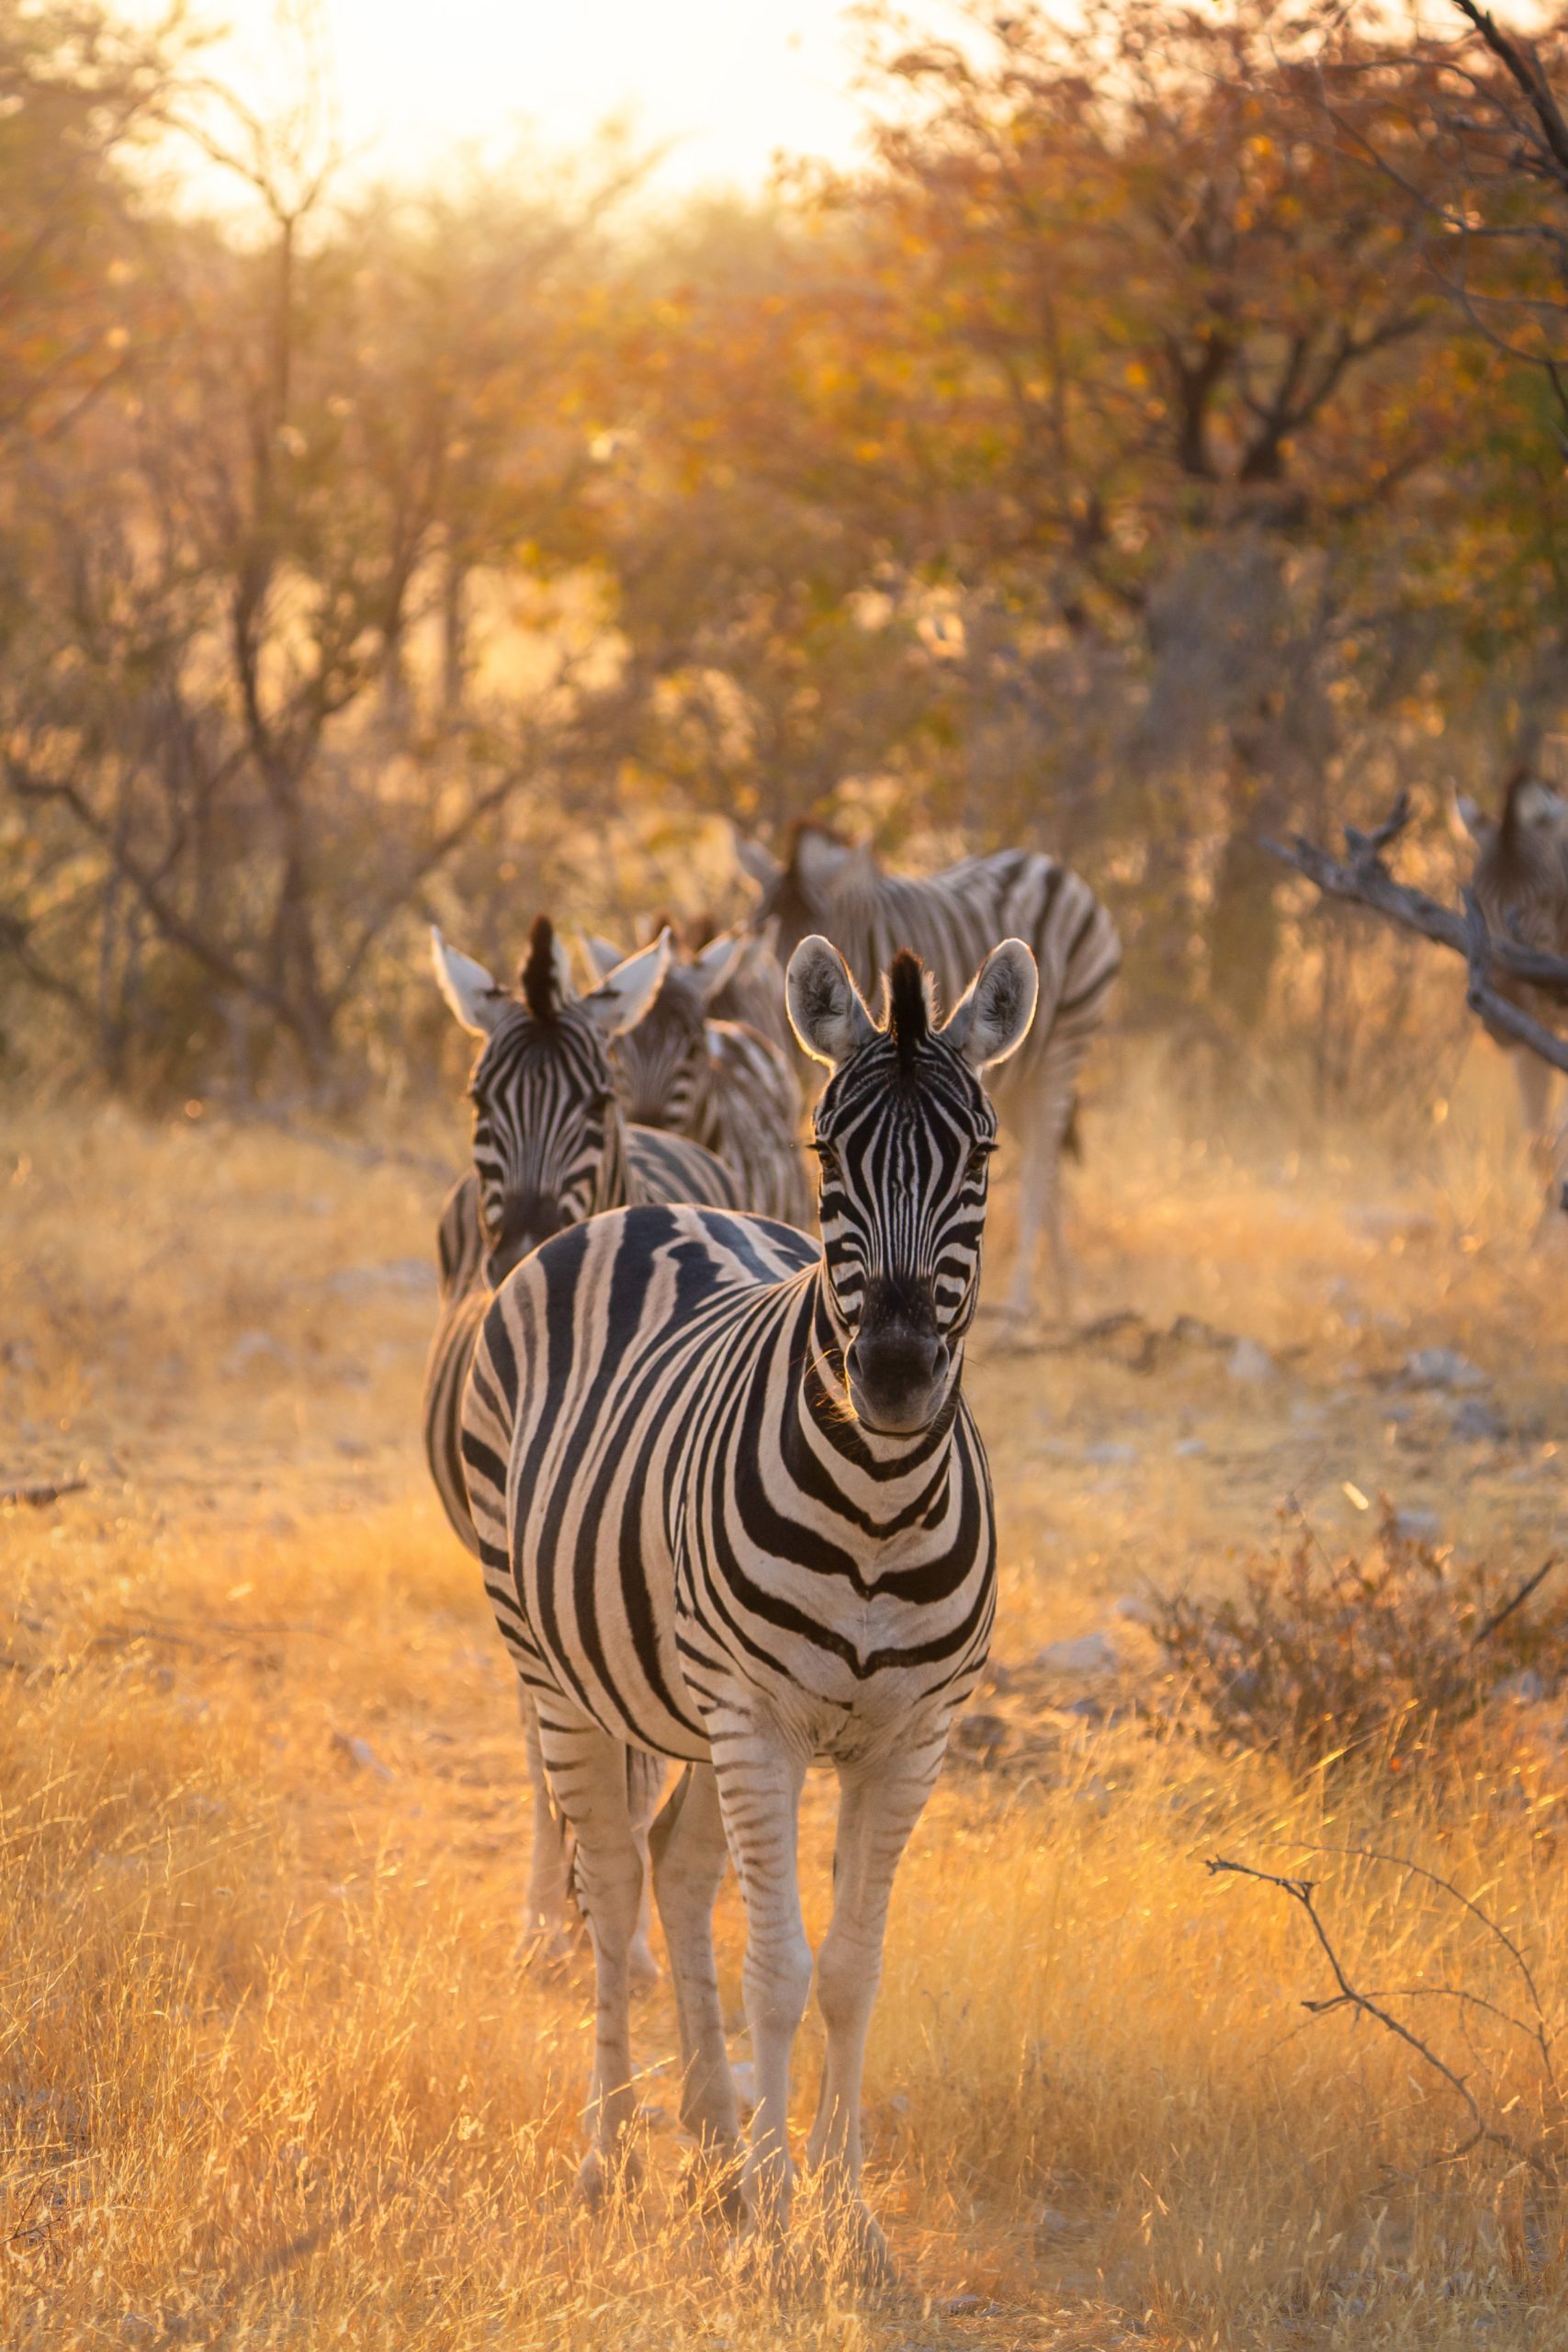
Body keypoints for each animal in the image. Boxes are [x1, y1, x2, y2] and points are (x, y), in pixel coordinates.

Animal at [423, 914, 742, 1968]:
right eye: (479, 1100)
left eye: (592, 1103)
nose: (521, 1251)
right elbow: (557, 1745)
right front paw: (562, 1912)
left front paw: (628, 1934)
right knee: (536, 1730)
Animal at [734, 822, 1121, 1321]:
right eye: (758, 930)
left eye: (816, 927)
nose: (783, 1033)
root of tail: (1047, 865)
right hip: (1020, 1077)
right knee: (1050, 1161)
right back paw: (1066, 1293)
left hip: (1065, 1041)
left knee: (1039, 1166)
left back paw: (1020, 1306)